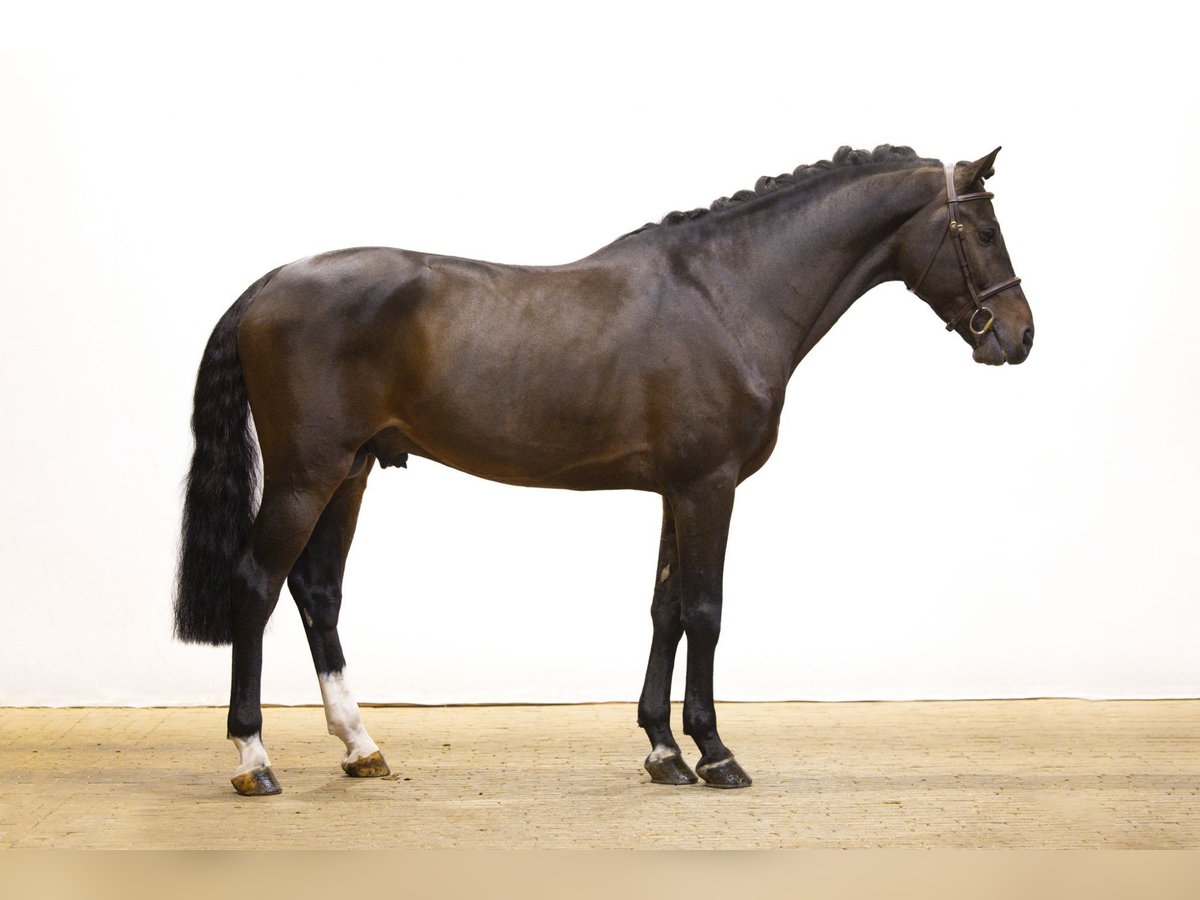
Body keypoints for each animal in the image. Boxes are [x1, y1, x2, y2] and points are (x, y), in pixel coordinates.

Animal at [175, 145, 1034, 795]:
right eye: (983, 228)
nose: (1019, 335)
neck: (726, 294)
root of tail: (269, 284)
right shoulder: (709, 488)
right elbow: (706, 612)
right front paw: (716, 754)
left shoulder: (677, 492)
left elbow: (665, 611)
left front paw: (664, 751)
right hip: (304, 476)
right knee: (256, 586)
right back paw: (255, 758)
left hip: (349, 473)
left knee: (317, 591)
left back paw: (361, 746)